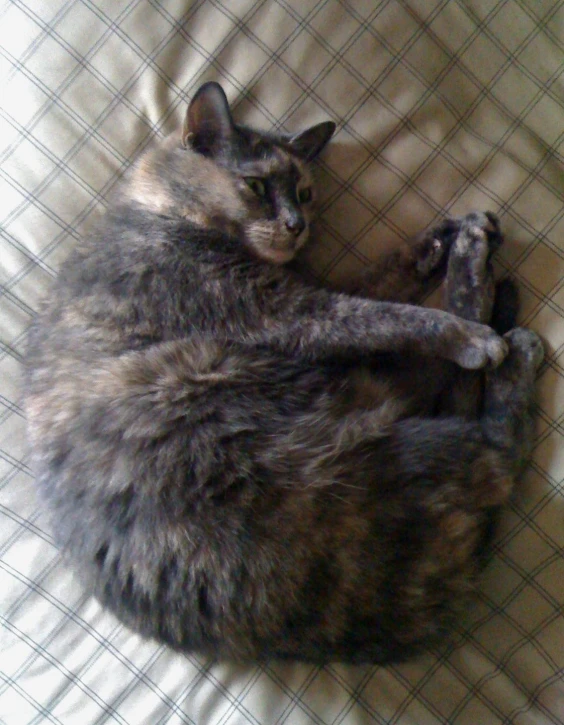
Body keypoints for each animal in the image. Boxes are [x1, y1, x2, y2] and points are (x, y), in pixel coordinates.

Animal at [24, 82, 544, 664]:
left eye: (305, 191)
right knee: (497, 443)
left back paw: (476, 255)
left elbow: (389, 273)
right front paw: (468, 331)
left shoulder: (310, 288)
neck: (162, 212)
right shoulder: (284, 311)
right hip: (374, 443)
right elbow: (391, 316)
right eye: (254, 185)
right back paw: (496, 316)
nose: (299, 226)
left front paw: (450, 231)